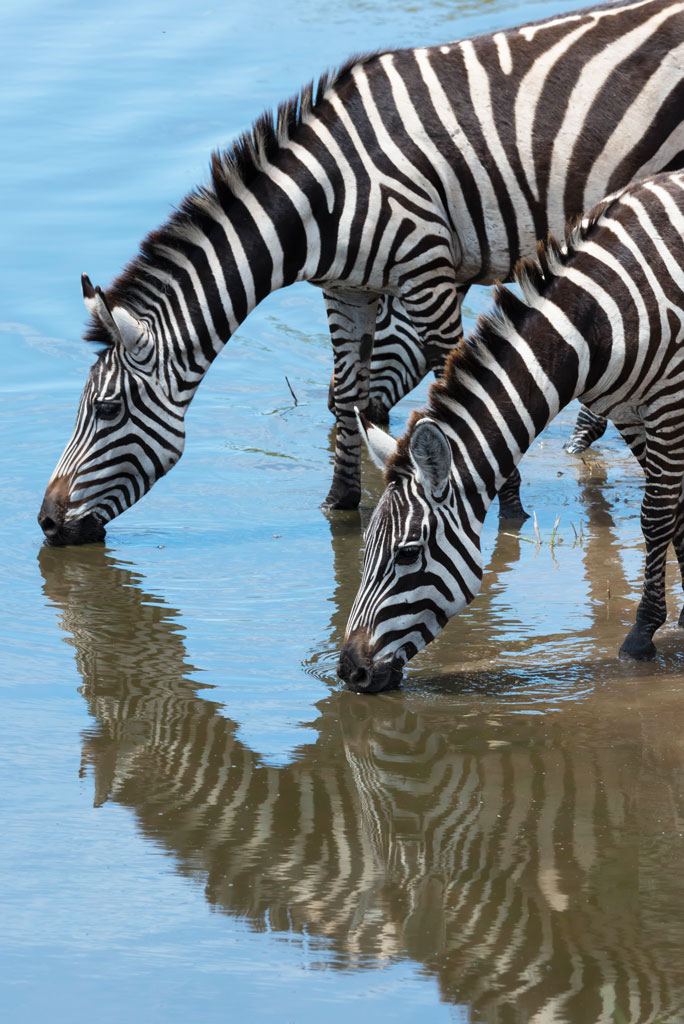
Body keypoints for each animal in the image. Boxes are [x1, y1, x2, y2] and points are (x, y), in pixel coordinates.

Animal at [37, 0, 684, 544]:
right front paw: (339, 501)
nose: (45, 522)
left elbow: (463, 378)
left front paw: (510, 507)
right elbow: (347, 393)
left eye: (105, 411)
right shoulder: (346, 290)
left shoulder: (426, 268)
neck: (322, 197)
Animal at [339, 171, 684, 692]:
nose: (349, 671)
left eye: (407, 554)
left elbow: (657, 516)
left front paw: (642, 635)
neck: (595, 322)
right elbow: (678, 513)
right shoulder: (629, 410)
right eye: (364, 552)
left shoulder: (666, 402)